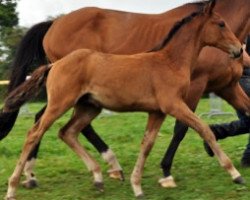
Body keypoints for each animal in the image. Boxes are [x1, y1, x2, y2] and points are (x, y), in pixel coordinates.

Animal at [2, 1, 243, 198]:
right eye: (221, 23)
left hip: (88, 107)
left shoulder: (157, 112)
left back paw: (99, 176)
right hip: (60, 104)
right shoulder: (173, 105)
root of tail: (54, 65)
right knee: (35, 133)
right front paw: (235, 173)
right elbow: (203, 128)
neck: (170, 61)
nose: (239, 50)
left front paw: (137, 186)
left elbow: (147, 144)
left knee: (67, 132)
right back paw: (14, 186)